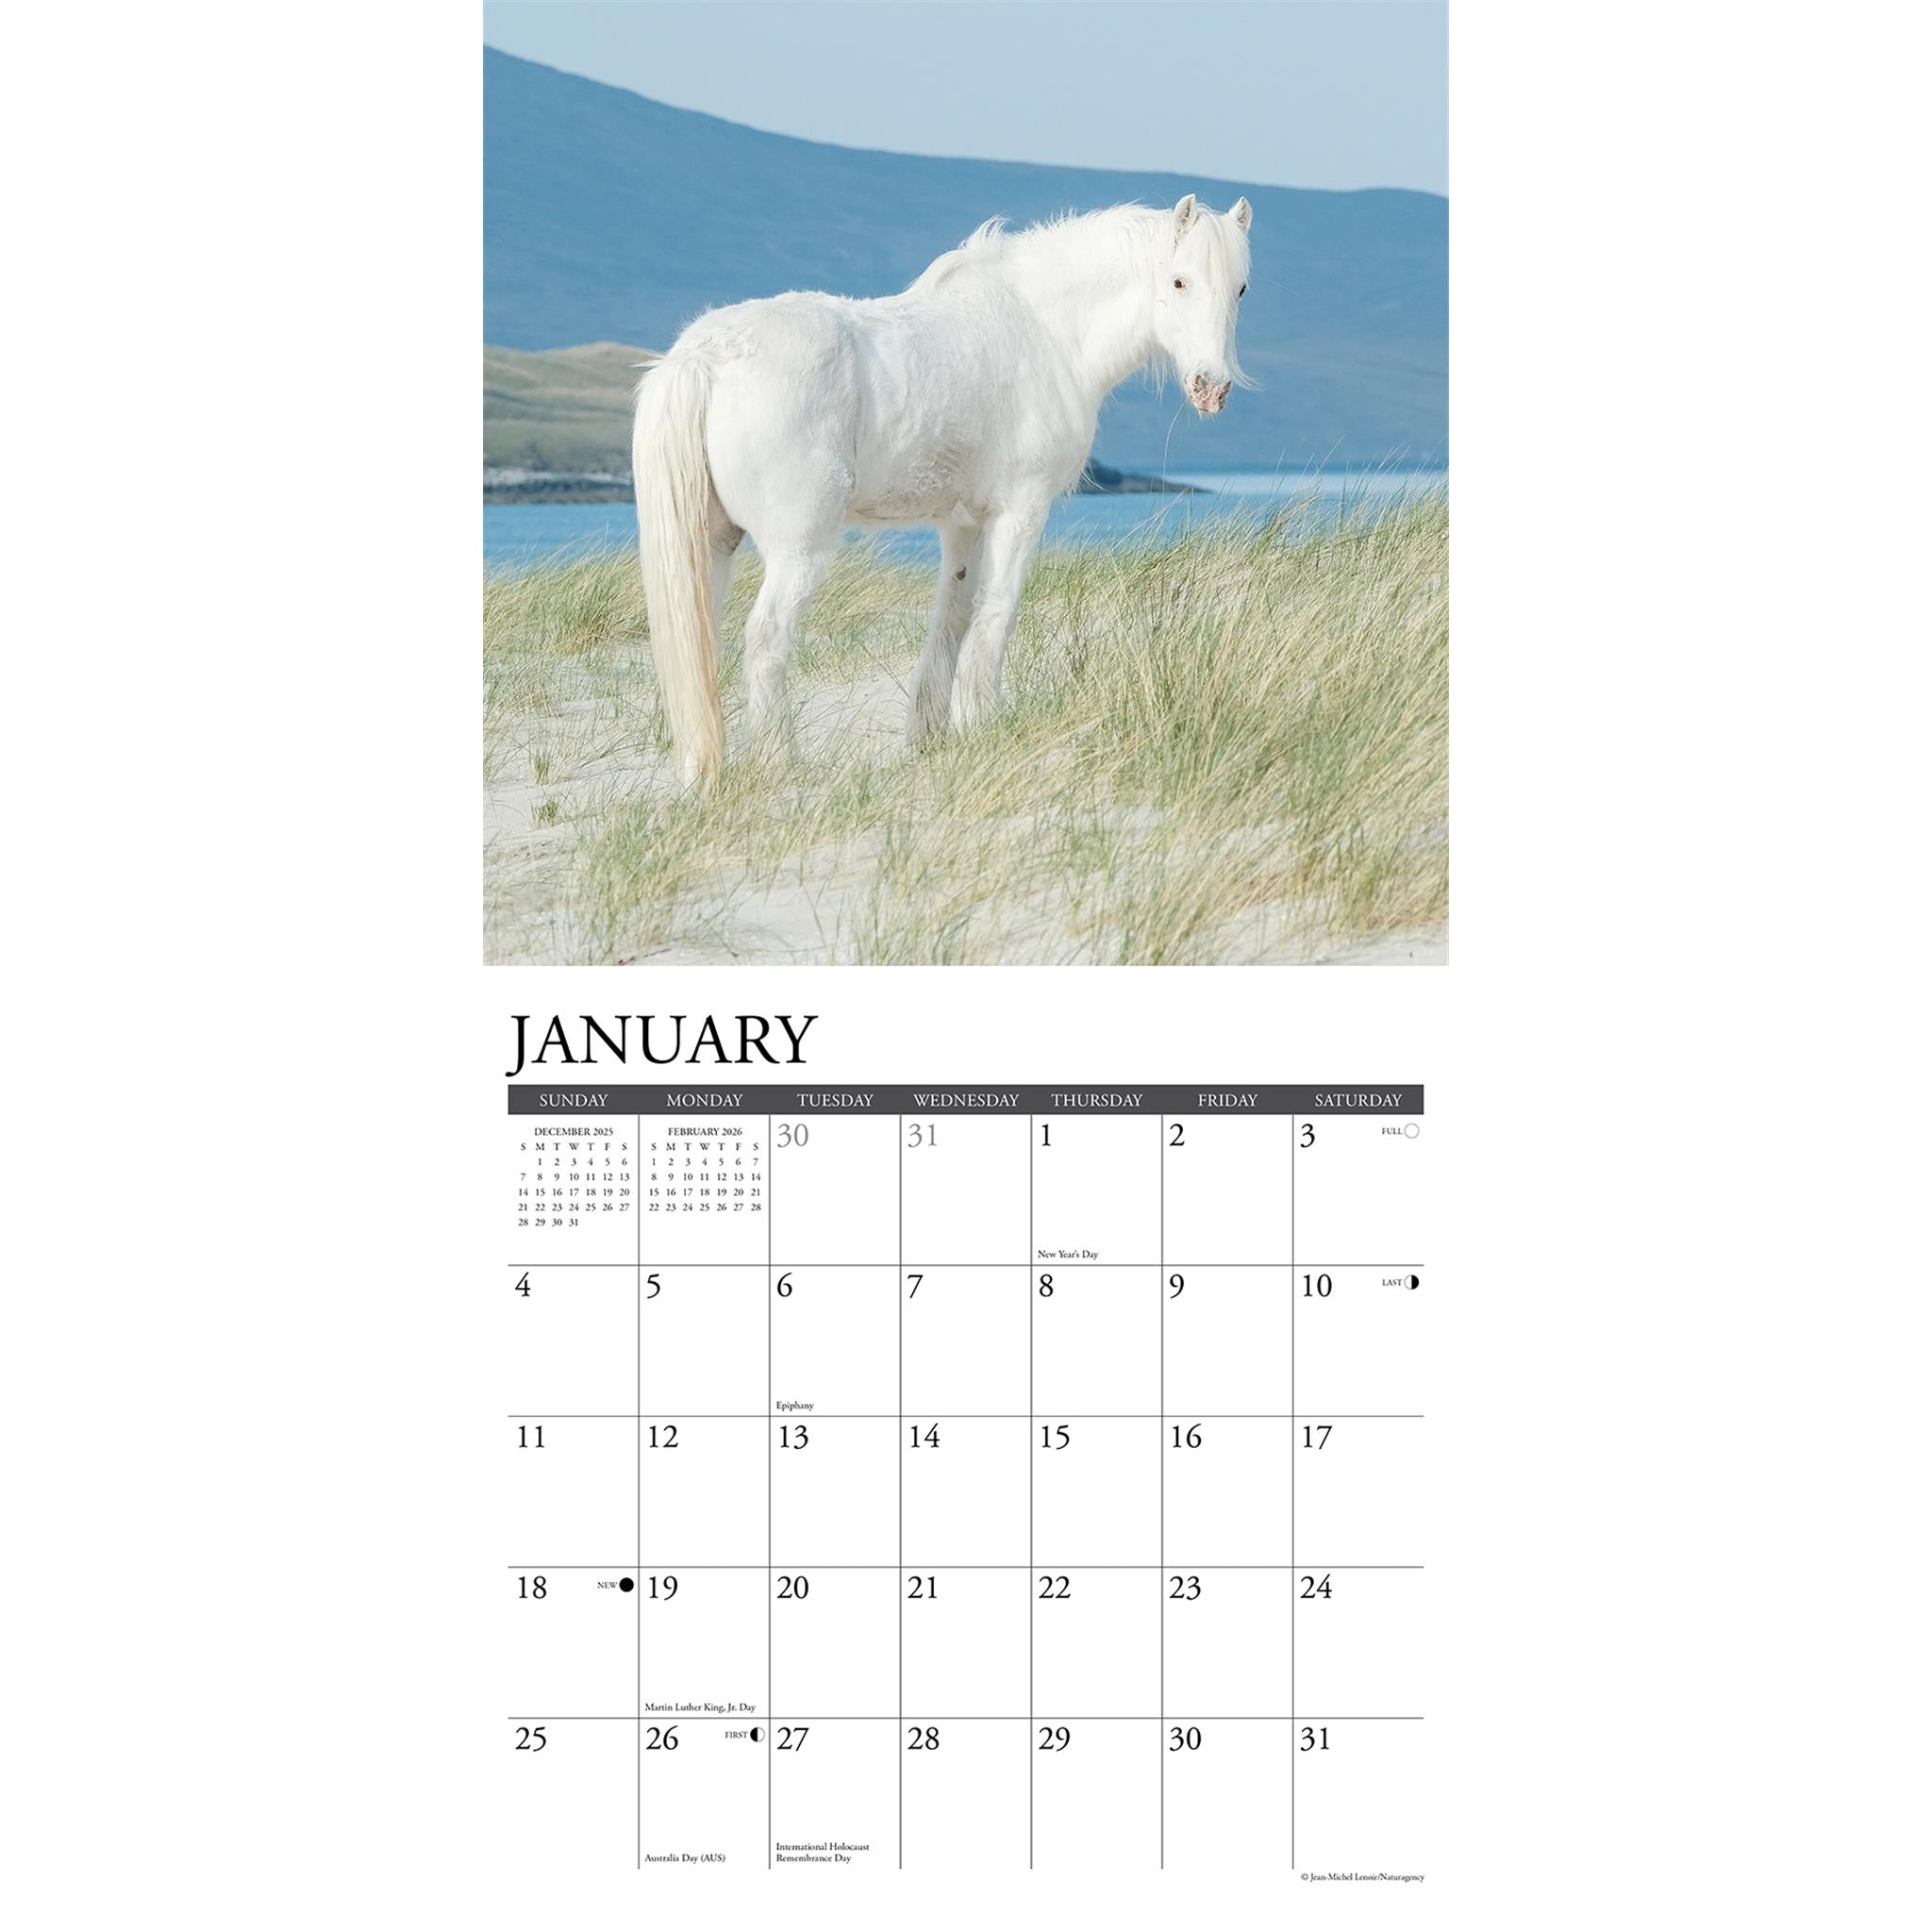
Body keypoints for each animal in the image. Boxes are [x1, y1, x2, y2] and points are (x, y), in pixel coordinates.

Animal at [632, 195, 1254, 785]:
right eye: (1179, 281)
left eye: (1241, 288)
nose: (1212, 388)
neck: (1043, 330)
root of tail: (705, 357)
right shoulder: (1019, 511)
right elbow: (997, 614)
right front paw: (983, 723)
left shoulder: (963, 524)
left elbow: (951, 619)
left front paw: (929, 735)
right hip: (796, 550)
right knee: (766, 641)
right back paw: (781, 763)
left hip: (712, 544)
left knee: (699, 642)